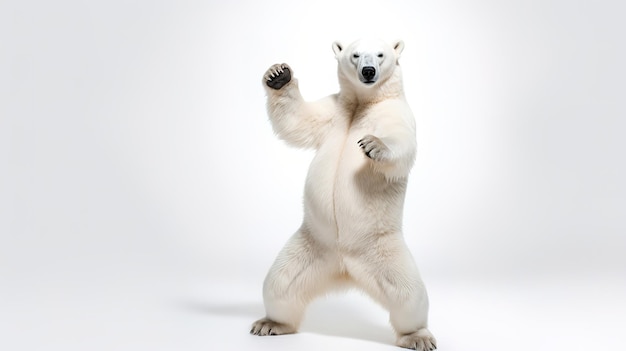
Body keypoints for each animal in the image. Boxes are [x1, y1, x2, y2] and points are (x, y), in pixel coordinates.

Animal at [249, 37, 434, 350]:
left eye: (380, 54)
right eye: (355, 55)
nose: (369, 71)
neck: (363, 102)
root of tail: (345, 269)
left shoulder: (395, 112)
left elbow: (400, 142)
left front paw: (374, 144)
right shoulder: (335, 112)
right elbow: (299, 121)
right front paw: (278, 75)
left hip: (381, 249)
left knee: (408, 294)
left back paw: (417, 335)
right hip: (311, 246)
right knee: (280, 284)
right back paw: (270, 323)